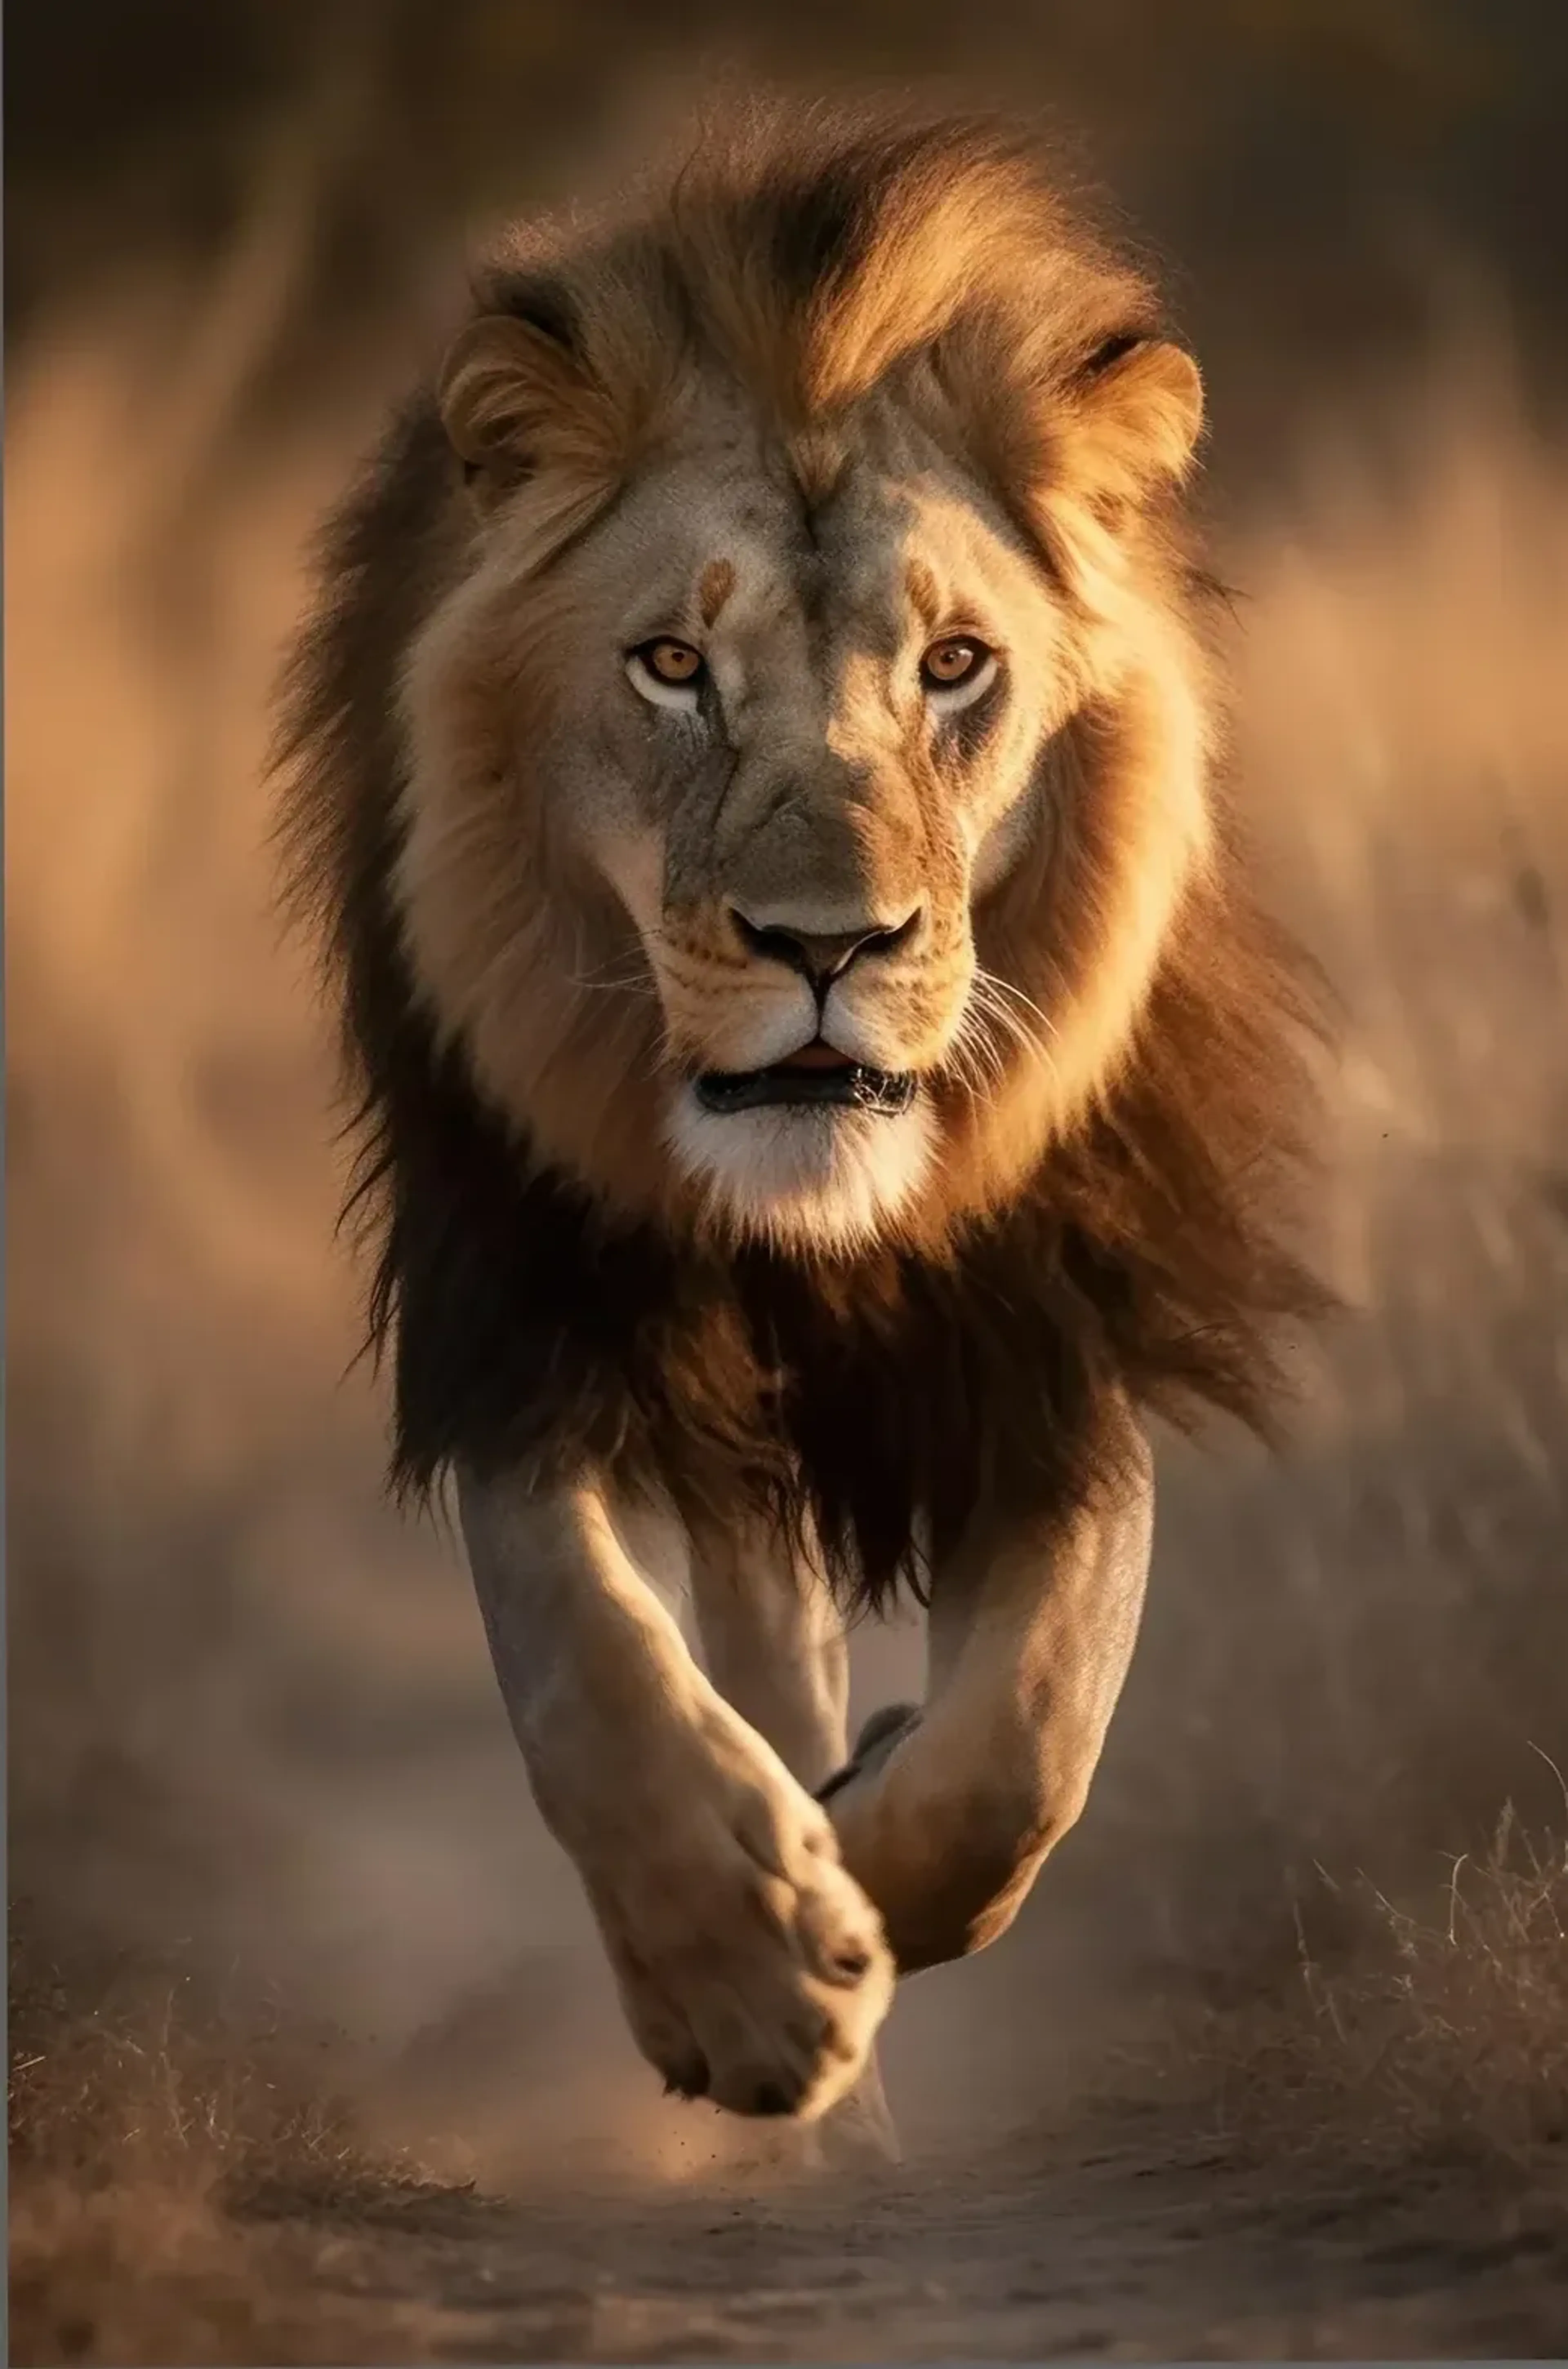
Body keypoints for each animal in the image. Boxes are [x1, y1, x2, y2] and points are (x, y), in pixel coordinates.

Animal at [277, 98, 1325, 2136]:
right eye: (673, 666)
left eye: (956, 665)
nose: (827, 944)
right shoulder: (521, 1302)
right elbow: (585, 1655)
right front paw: (751, 1973)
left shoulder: (1056, 1318)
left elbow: (1035, 1728)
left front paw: (866, 1869)